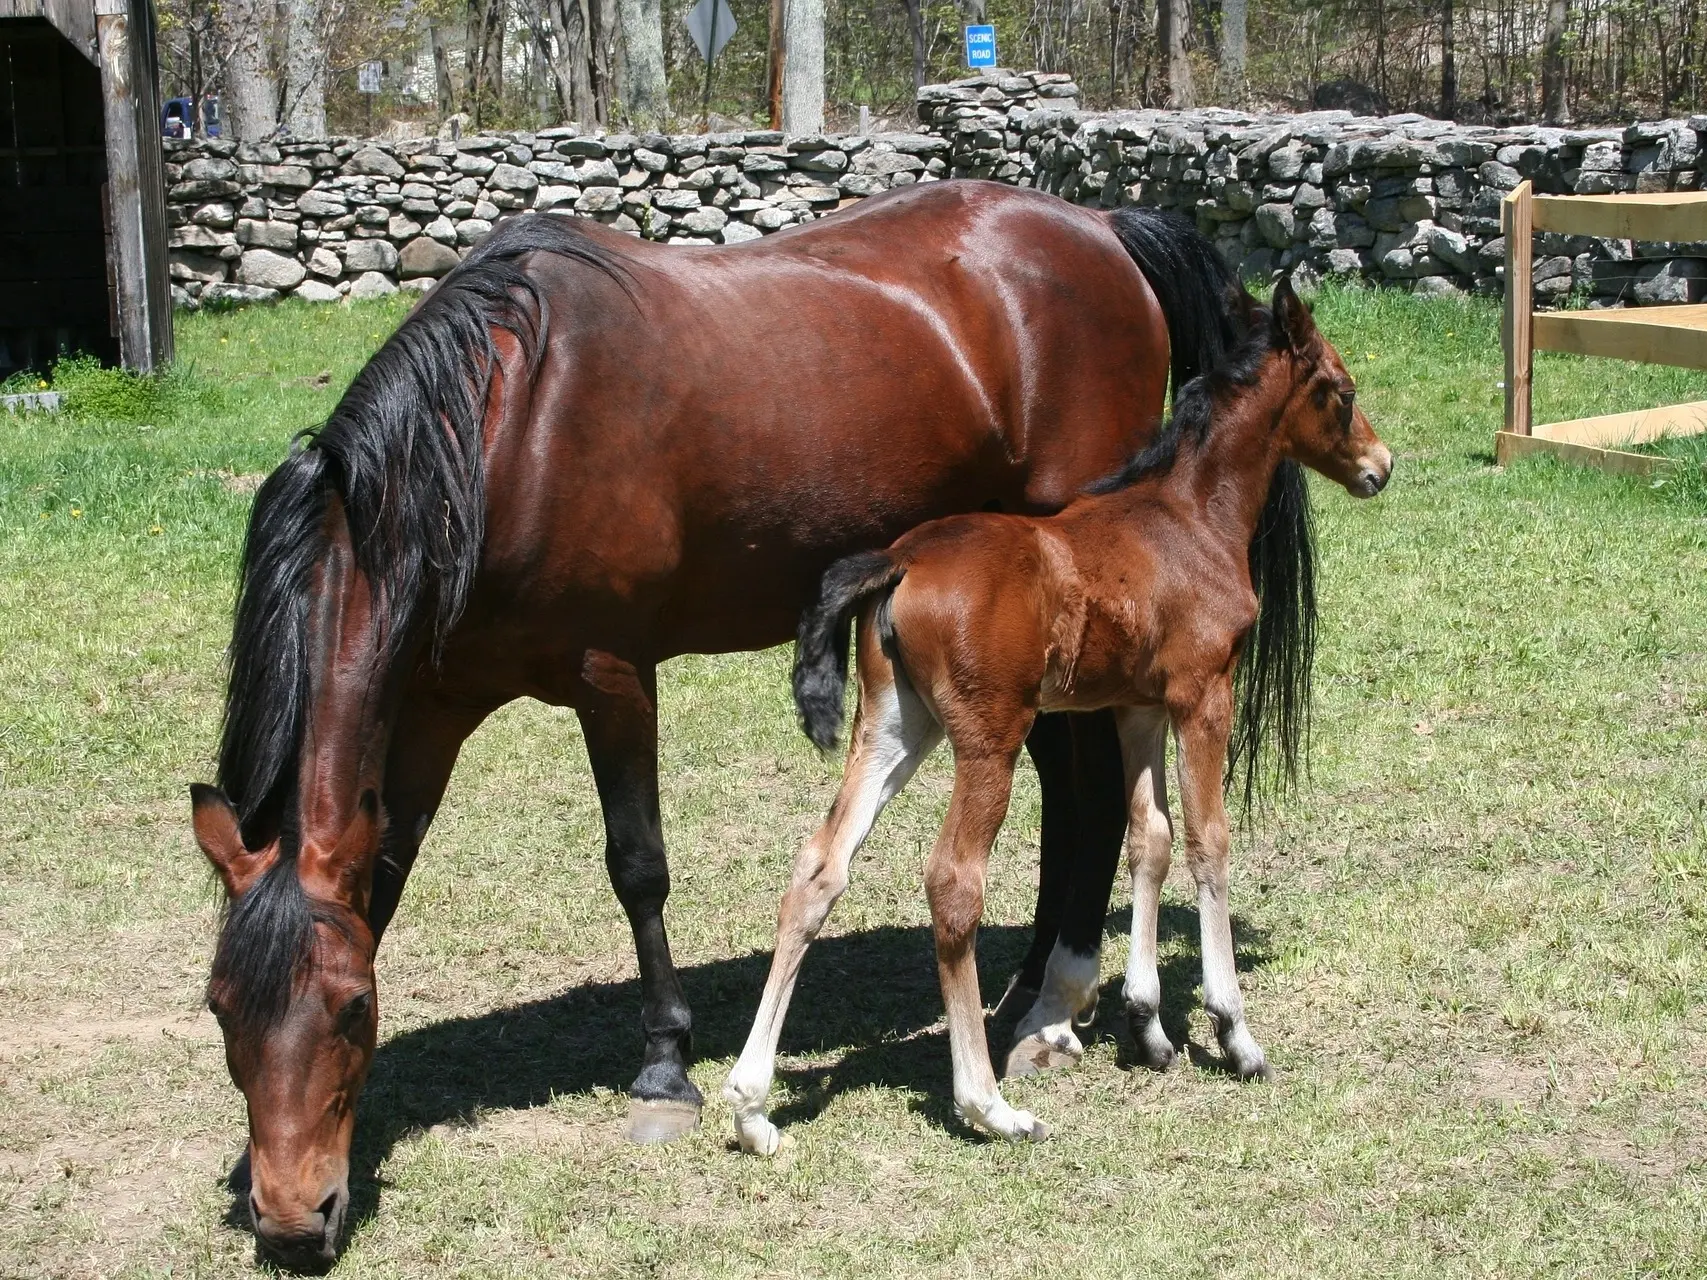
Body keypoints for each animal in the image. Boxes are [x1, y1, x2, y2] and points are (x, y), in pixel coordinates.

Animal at [183, 182, 1270, 1276]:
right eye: (221, 1008)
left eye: (351, 1008)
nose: (292, 1223)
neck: (505, 434)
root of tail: (1101, 226)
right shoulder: (433, 709)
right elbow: (387, 876)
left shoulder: (612, 675)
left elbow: (637, 866)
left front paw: (667, 1064)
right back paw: (1024, 997)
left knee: (1087, 796)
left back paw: (1053, 1005)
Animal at [727, 279, 1392, 1153]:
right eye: (1342, 393)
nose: (1380, 466)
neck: (1189, 518)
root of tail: (898, 560)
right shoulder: (1202, 696)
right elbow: (1208, 842)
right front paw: (1233, 1034)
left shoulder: (1135, 707)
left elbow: (1149, 838)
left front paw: (1146, 1027)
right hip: (989, 740)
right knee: (953, 882)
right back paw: (987, 1104)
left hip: (894, 727)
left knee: (818, 868)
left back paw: (750, 1107)